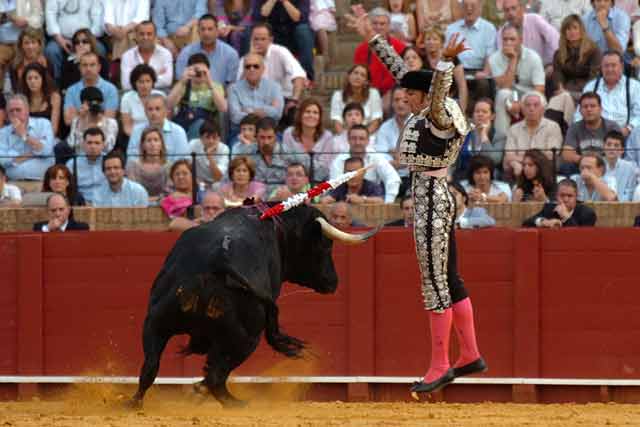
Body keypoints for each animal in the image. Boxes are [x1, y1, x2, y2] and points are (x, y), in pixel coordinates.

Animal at [131, 204, 380, 408]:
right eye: (325, 246)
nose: (333, 282)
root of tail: (219, 261)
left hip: (155, 322)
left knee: (150, 366)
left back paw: (134, 404)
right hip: (247, 337)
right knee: (216, 377)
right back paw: (235, 402)